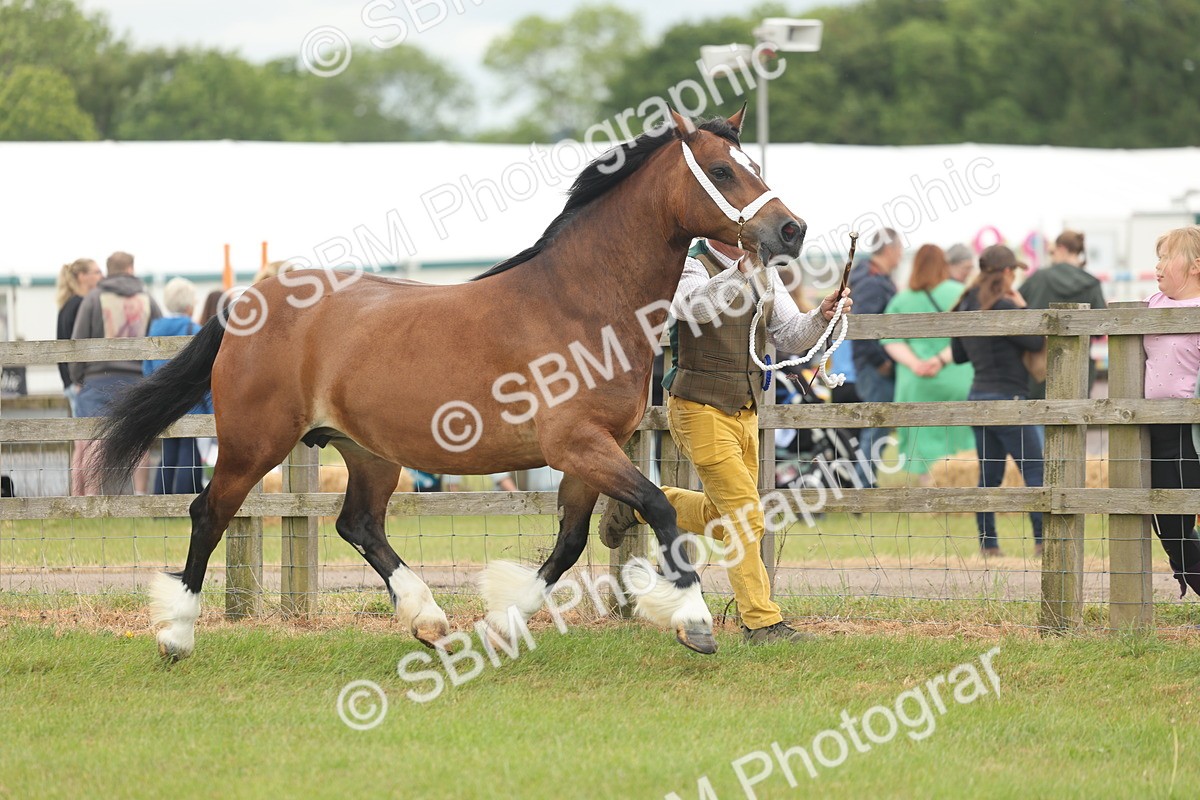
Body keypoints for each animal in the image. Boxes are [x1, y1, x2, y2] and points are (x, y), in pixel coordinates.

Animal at [93, 107, 807, 661]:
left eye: (755, 163)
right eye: (723, 170)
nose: (791, 230)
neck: (580, 304)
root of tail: (249, 300)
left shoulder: (588, 454)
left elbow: (570, 544)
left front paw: (502, 622)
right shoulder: (577, 444)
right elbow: (658, 508)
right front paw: (694, 621)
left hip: (367, 452)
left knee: (357, 524)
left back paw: (428, 618)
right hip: (253, 444)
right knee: (209, 514)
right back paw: (177, 636)